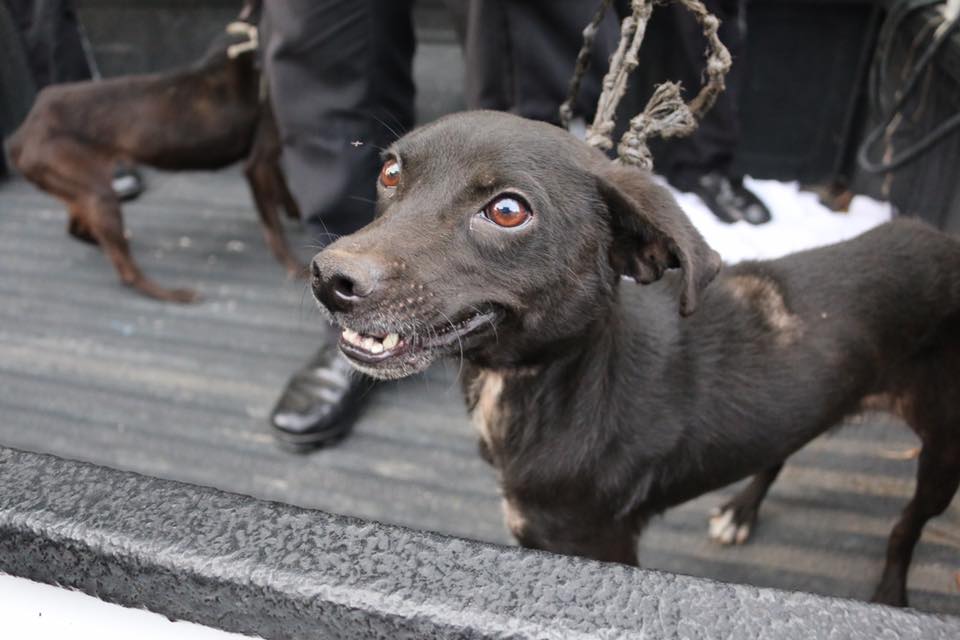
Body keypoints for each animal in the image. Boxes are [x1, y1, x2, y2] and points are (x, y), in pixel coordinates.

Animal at [310, 112, 960, 608]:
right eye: (391, 172)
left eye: (507, 211)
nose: (329, 277)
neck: (555, 380)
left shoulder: (599, 547)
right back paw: (741, 511)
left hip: (943, 456)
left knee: (905, 526)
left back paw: (891, 596)